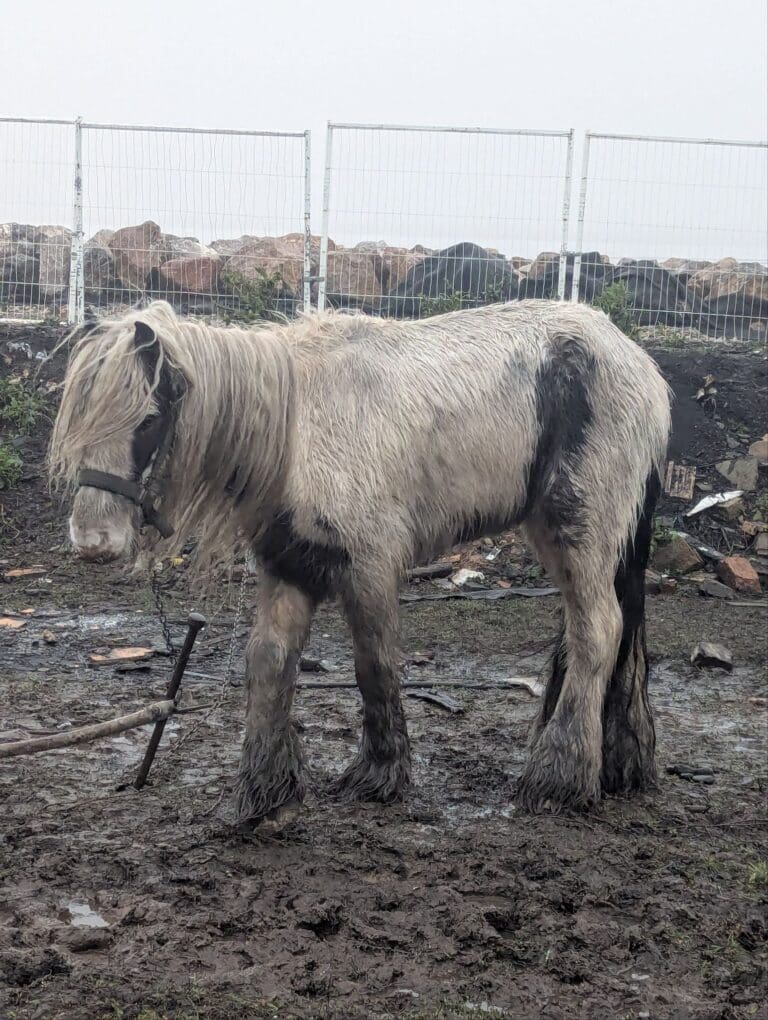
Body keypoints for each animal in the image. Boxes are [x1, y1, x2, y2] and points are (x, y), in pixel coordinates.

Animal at [49, 299, 670, 826]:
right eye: (77, 418)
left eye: (148, 420)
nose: (93, 540)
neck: (296, 425)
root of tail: (638, 362)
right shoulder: (289, 566)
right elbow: (268, 662)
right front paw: (264, 790)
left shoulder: (369, 567)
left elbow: (374, 666)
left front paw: (379, 775)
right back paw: (615, 765)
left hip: (580, 531)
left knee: (598, 632)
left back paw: (559, 777)